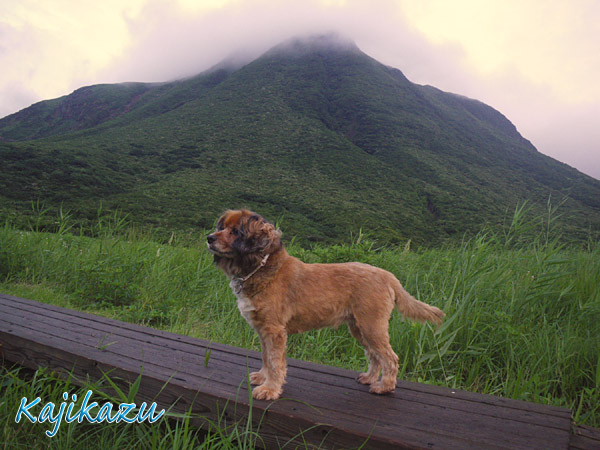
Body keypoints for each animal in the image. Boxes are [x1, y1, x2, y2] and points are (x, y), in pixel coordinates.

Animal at [207, 209, 446, 400]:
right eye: (222, 227)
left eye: (236, 231)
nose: (209, 238)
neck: (263, 268)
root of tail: (388, 276)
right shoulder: (263, 330)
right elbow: (266, 357)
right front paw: (262, 378)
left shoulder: (274, 331)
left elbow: (275, 362)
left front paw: (270, 389)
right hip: (360, 328)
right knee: (374, 355)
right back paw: (370, 378)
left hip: (372, 326)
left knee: (390, 358)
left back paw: (384, 387)